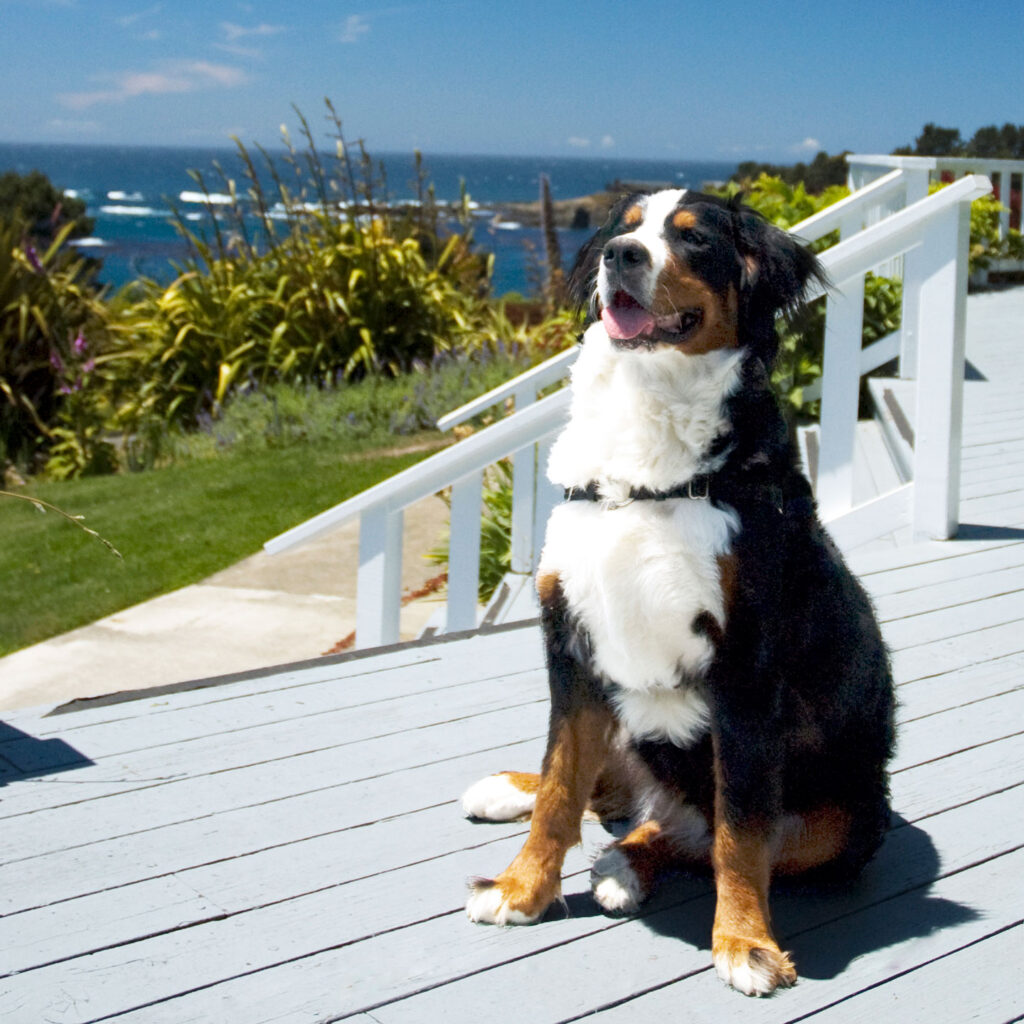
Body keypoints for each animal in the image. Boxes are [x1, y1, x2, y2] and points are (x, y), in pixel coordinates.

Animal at [460, 188, 892, 995]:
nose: (619, 257)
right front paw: (521, 889)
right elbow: (559, 786)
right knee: (608, 791)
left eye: (692, 241)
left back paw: (625, 866)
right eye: (628, 229)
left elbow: (740, 832)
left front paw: (744, 942)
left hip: (844, 819)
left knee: (692, 828)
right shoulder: (571, 647)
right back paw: (513, 791)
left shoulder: (747, 675)